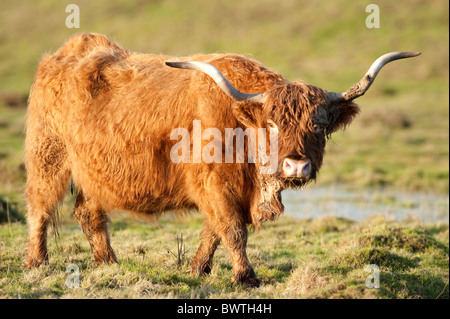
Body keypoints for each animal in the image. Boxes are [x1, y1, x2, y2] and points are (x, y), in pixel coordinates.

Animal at [24, 33, 418, 288]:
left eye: (318, 125)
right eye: (272, 124)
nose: (296, 166)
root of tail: (64, 53)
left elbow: (214, 231)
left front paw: (198, 269)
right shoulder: (215, 184)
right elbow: (232, 229)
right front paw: (246, 277)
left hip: (92, 173)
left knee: (88, 214)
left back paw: (108, 263)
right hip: (49, 156)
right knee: (40, 209)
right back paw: (36, 263)